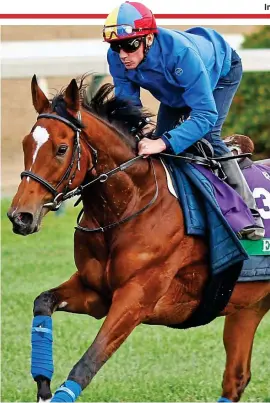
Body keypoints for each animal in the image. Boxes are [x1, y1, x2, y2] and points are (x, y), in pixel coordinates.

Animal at [6, 75, 270, 400]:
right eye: (26, 144)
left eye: (61, 148)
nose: (20, 216)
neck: (131, 203)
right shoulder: (96, 293)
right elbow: (42, 301)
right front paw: (43, 385)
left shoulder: (136, 299)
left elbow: (87, 363)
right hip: (248, 308)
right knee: (236, 378)